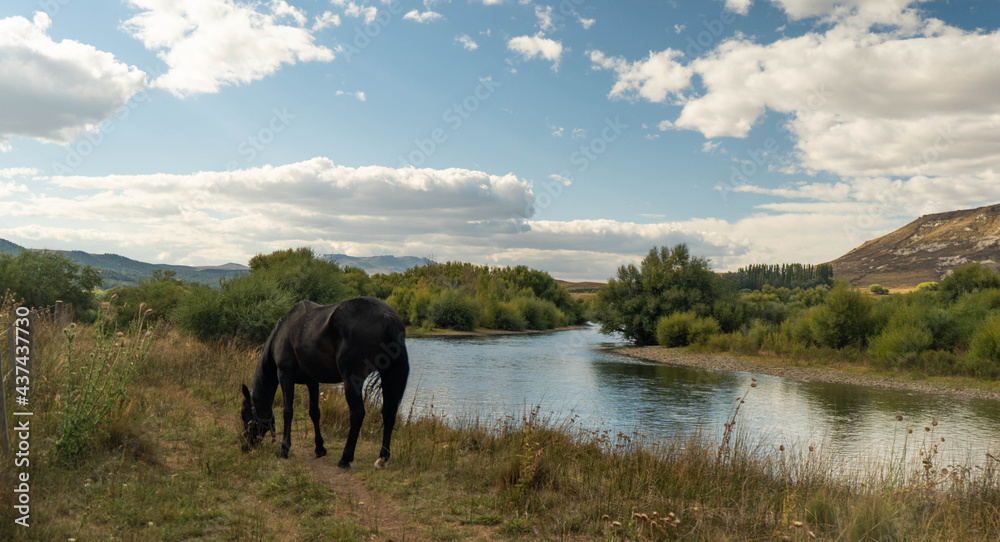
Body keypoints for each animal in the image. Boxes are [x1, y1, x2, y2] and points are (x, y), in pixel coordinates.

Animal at [240, 296, 409, 469]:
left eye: (244, 414)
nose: (245, 446)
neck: (282, 334)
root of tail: (387, 317)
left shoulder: (284, 376)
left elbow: (288, 412)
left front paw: (284, 449)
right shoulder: (312, 381)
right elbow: (314, 412)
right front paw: (320, 448)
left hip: (351, 380)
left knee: (357, 414)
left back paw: (345, 458)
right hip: (388, 376)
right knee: (388, 413)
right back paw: (382, 458)